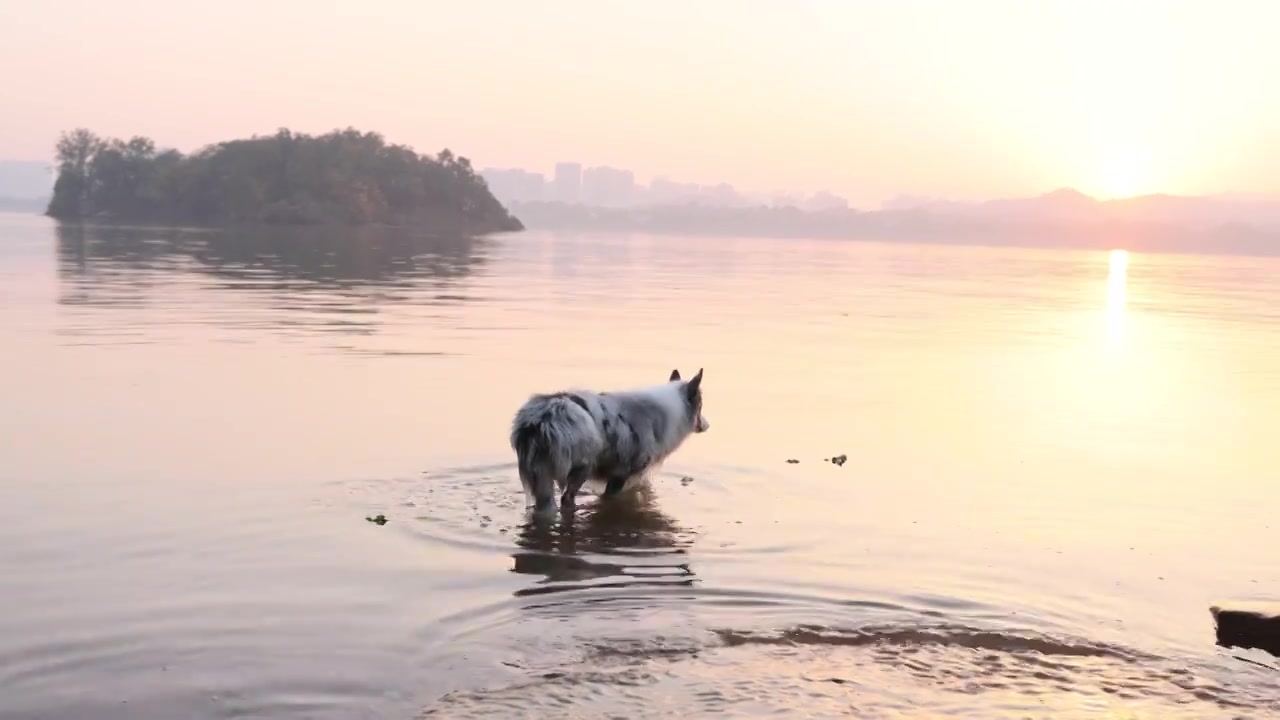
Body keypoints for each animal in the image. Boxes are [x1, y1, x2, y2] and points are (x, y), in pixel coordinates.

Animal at [509, 366, 711, 512]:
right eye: (701, 405)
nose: (708, 425)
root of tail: (541, 418)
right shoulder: (622, 475)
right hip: (581, 469)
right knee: (566, 499)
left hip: (542, 476)